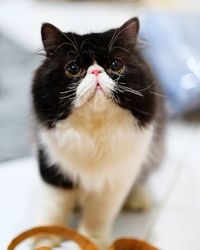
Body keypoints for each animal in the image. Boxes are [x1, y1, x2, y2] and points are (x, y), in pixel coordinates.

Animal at [31, 16, 165, 249]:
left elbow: (97, 217)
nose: (95, 72)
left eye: (115, 65)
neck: (94, 131)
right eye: (73, 68)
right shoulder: (52, 167)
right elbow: (53, 208)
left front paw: (91, 241)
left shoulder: (114, 182)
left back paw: (137, 200)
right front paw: (45, 238)